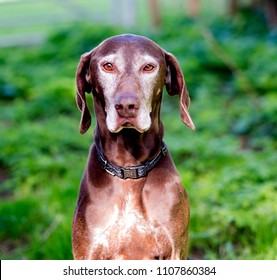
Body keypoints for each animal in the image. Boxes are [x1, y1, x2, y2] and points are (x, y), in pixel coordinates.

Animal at [71, 33, 194, 260]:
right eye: (108, 66)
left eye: (148, 67)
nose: (126, 106)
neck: (129, 168)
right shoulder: (87, 253)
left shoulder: (175, 250)